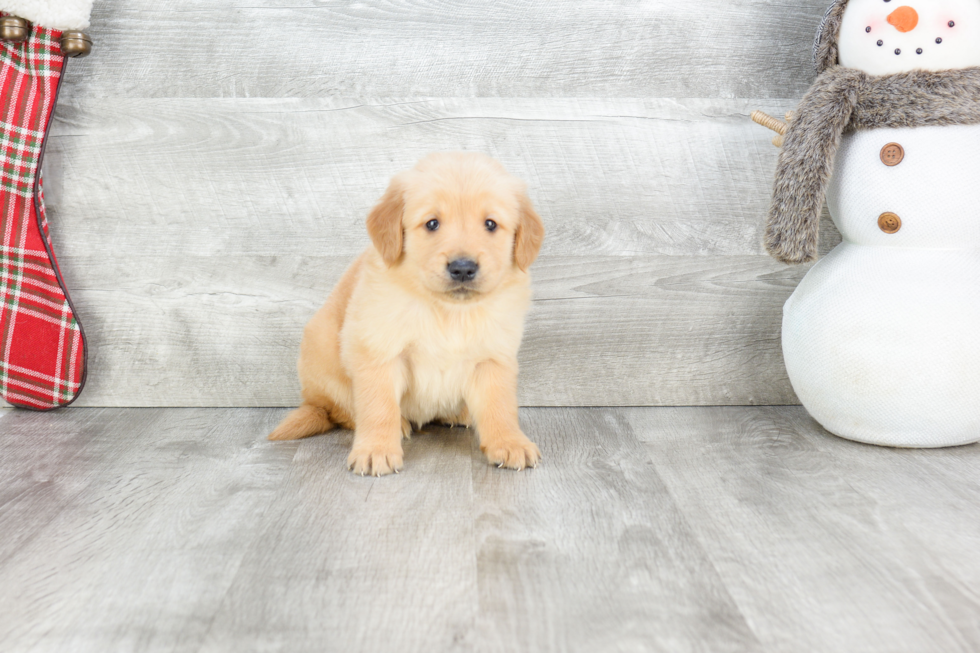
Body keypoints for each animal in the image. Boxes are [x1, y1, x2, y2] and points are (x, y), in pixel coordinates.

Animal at [268, 154, 544, 478]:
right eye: (432, 223)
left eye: (491, 224)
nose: (463, 268)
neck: (449, 311)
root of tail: (313, 401)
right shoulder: (379, 352)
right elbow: (379, 406)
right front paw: (375, 450)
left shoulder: (494, 358)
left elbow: (500, 406)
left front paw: (510, 442)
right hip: (325, 356)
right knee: (343, 410)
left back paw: (460, 413)